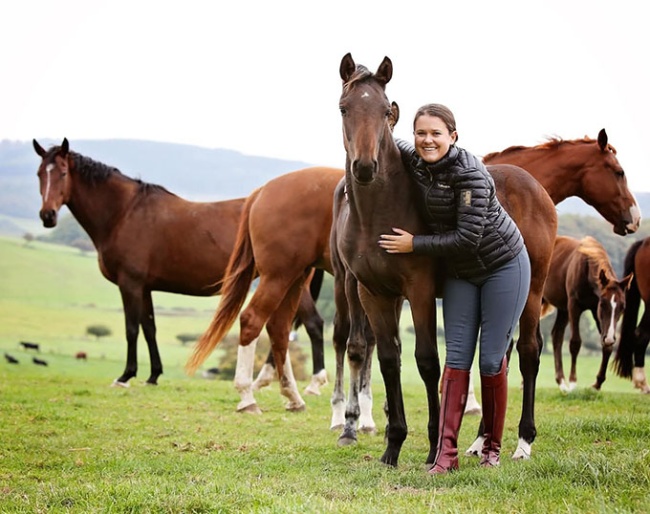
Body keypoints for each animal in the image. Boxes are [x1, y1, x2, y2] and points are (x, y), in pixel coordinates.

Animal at [33, 138, 328, 396]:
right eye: (39, 174)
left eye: (62, 173)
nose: (47, 216)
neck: (124, 213)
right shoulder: (145, 288)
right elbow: (149, 328)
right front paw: (153, 375)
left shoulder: (130, 284)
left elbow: (131, 329)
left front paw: (126, 376)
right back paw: (265, 380)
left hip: (288, 281)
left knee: (313, 325)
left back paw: (312, 384)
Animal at [541, 235, 633, 392]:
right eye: (603, 304)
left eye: (623, 307)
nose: (610, 338)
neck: (587, 267)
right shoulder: (574, 306)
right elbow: (575, 343)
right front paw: (573, 382)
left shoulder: (596, 313)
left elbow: (606, 346)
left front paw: (597, 384)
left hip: (563, 310)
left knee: (556, 335)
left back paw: (561, 381)